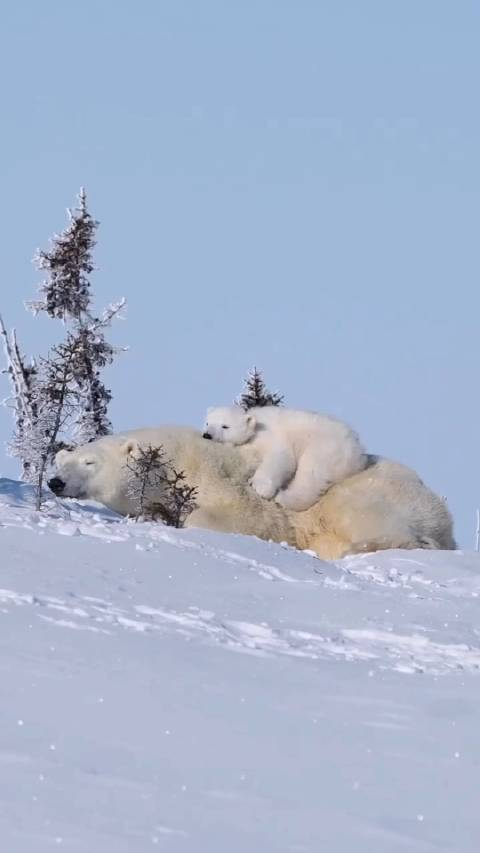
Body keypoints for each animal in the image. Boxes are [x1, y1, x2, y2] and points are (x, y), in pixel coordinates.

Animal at [48, 425, 456, 560]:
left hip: (364, 493)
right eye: (61, 462)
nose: (55, 483)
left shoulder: (224, 480)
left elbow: (238, 515)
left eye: (89, 462)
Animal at [202, 405, 367, 511]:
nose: (207, 435)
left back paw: (282, 497)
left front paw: (259, 486)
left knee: (310, 477)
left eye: (225, 426)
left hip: (323, 449)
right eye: (207, 422)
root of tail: (357, 451)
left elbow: (281, 458)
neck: (256, 425)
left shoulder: (271, 436)